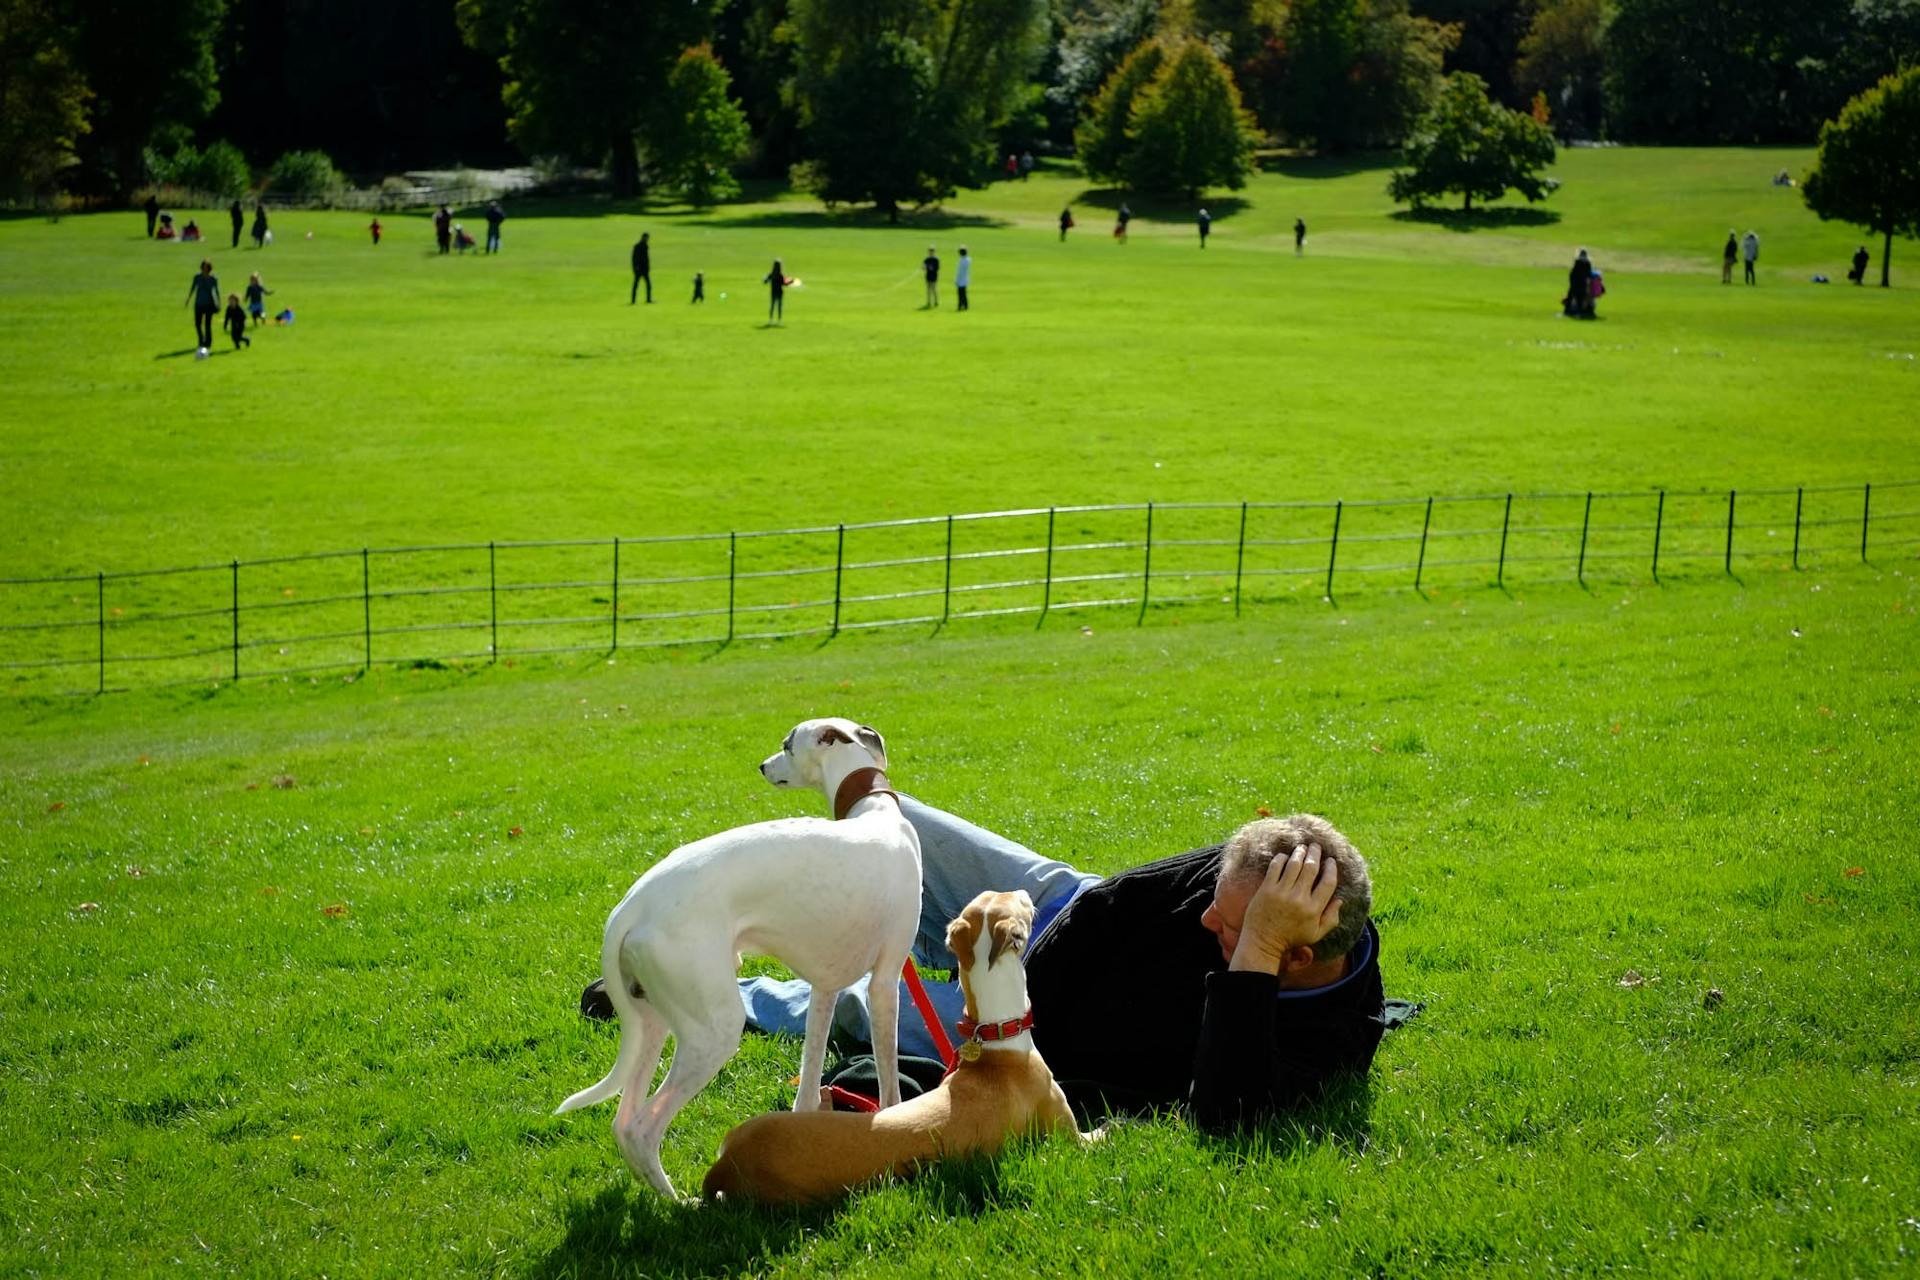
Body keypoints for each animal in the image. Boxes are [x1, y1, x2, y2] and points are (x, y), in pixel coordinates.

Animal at [556, 717, 921, 1197]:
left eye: (787, 745)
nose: (763, 765)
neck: (873, 812)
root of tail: (630, 906)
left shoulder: (824, 987)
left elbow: (808, 1083)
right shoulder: (885, 982)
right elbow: (888, 1073)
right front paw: (895, 1120)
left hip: (650, 1019)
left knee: (623, 1121)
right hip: (714, 1029)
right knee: (643, 1127)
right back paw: (683, 1203)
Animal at [702, 886, 1098, 1205]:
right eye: (1016, 901)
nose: (1026, 891)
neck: (996, 1039)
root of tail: (724, 1168)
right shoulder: (1068, 1133)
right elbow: (1096, 1135)